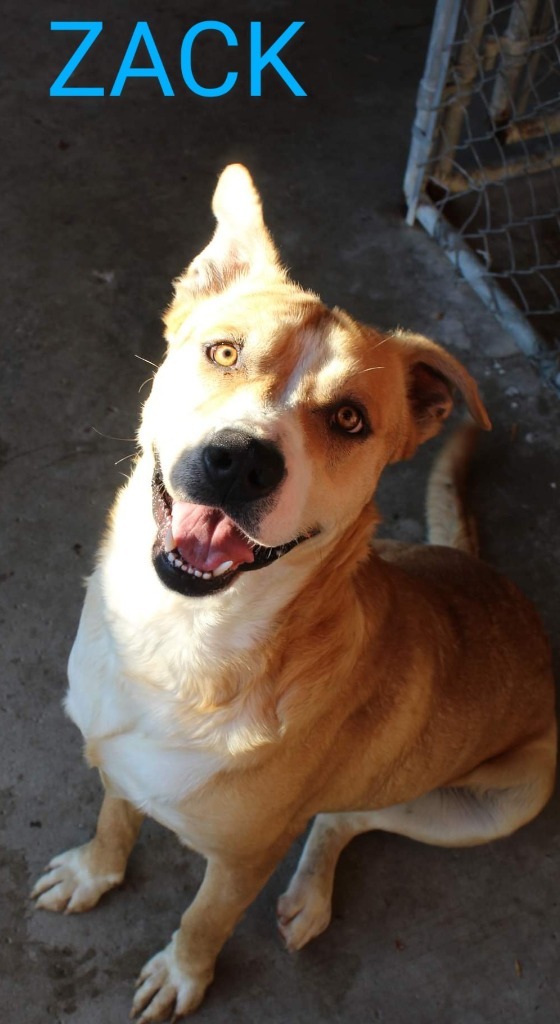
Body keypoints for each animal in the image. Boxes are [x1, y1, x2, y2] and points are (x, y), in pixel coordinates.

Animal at [32, 163, 556, 1019]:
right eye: (223, 351)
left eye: (348, 419)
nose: (241, 462)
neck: (179, 639)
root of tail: (495, 581)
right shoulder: (115, 761)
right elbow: (114, 821)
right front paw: (92, 873)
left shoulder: (242, 858)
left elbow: (205, 919)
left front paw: (184, 974)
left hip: (498, 803)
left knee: (347, 815)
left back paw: (310, 898)